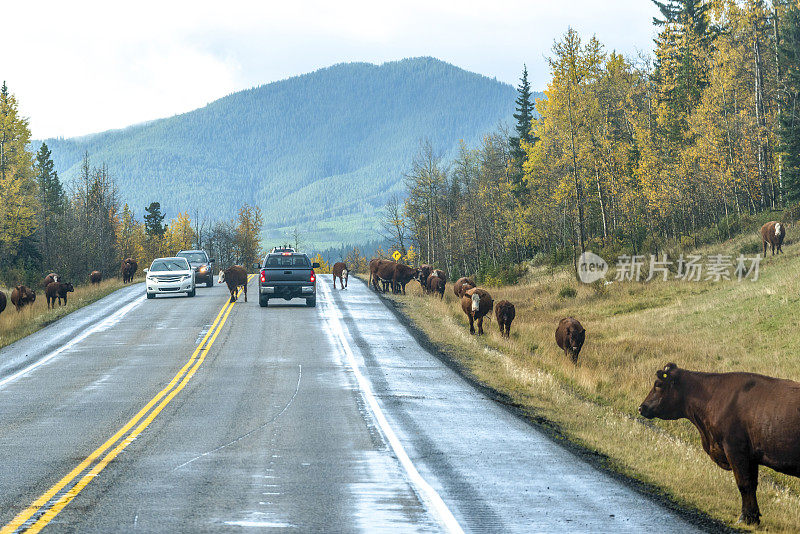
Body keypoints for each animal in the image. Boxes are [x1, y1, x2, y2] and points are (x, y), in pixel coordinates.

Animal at [636, 364, 800, 528]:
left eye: (658, 384)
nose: (641, 407)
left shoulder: (735, 449)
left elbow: (744, 484)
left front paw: (745, 518)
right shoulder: (751, 457)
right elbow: (752, 484)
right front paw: (754, 518)